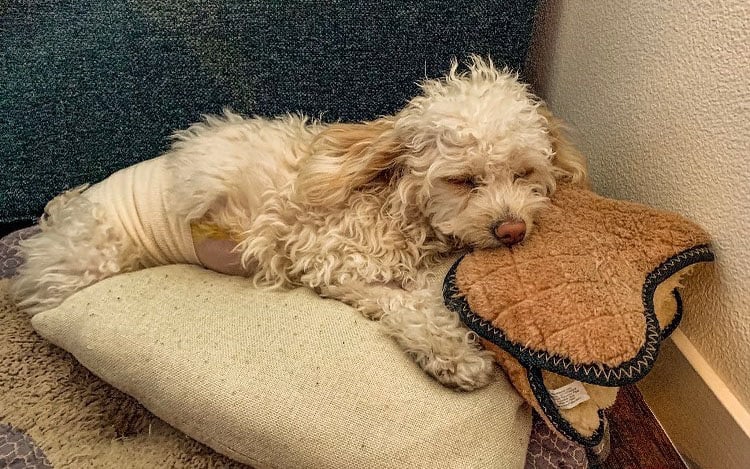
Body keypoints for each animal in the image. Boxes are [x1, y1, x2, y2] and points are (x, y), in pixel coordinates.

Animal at [11, 55, 588, 392]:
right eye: (464, 180)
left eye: (523, 173)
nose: (511, 231)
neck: (392, 202)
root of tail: (53, 226)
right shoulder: (336, 263)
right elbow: (407, 306)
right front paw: (453, 356)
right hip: (89, 263)